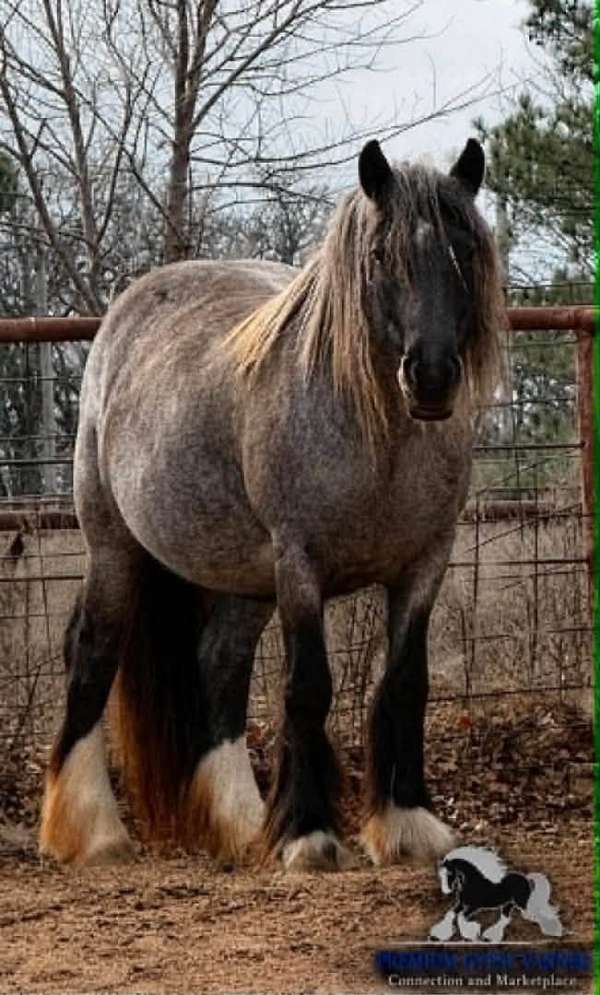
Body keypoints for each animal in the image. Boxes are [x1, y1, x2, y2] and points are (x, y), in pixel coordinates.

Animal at [39, 137, 503, 871]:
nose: (430, 375)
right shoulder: (299, 566)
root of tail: (125, 313)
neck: (380, 437)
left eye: (464, 249)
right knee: (93, 652)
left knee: (220, 666)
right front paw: (310, 833)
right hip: (115, 546)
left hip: (242, 579)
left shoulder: (425, 565)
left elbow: (407, 683)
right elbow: (308, 688)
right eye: (380, 255)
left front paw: (407, 822)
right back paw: (93, 831)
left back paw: (239, 821)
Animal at [430, 845, 563, 942]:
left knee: (534, 913)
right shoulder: (461, 904)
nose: (446, 891)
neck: (473, 883)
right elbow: (451, 914)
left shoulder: (474, 906)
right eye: (440, 875)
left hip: (521, 903)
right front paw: (438, 935)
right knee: (505, 919)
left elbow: (461, 917)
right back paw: (490, 937)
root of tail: (526, 878)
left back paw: (554, 931)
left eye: (449, 873)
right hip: (509, 904)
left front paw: (471, 934)